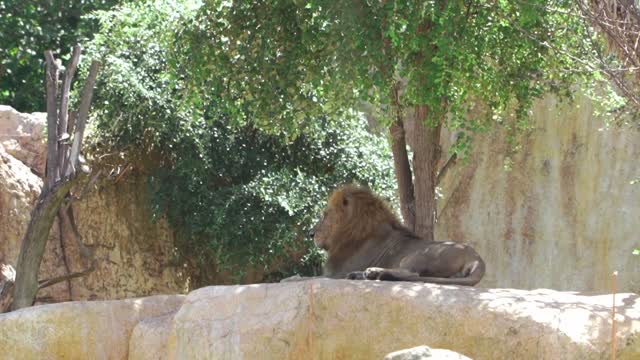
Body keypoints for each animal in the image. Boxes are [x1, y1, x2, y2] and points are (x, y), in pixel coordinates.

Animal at [308, 184, 482, 286]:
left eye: (325, 214)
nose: (310, 234)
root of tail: (477, 259)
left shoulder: (335, 274)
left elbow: (305, 277)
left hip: (419, 254)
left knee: (411, 273)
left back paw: (373, 272)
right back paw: (363, 275)